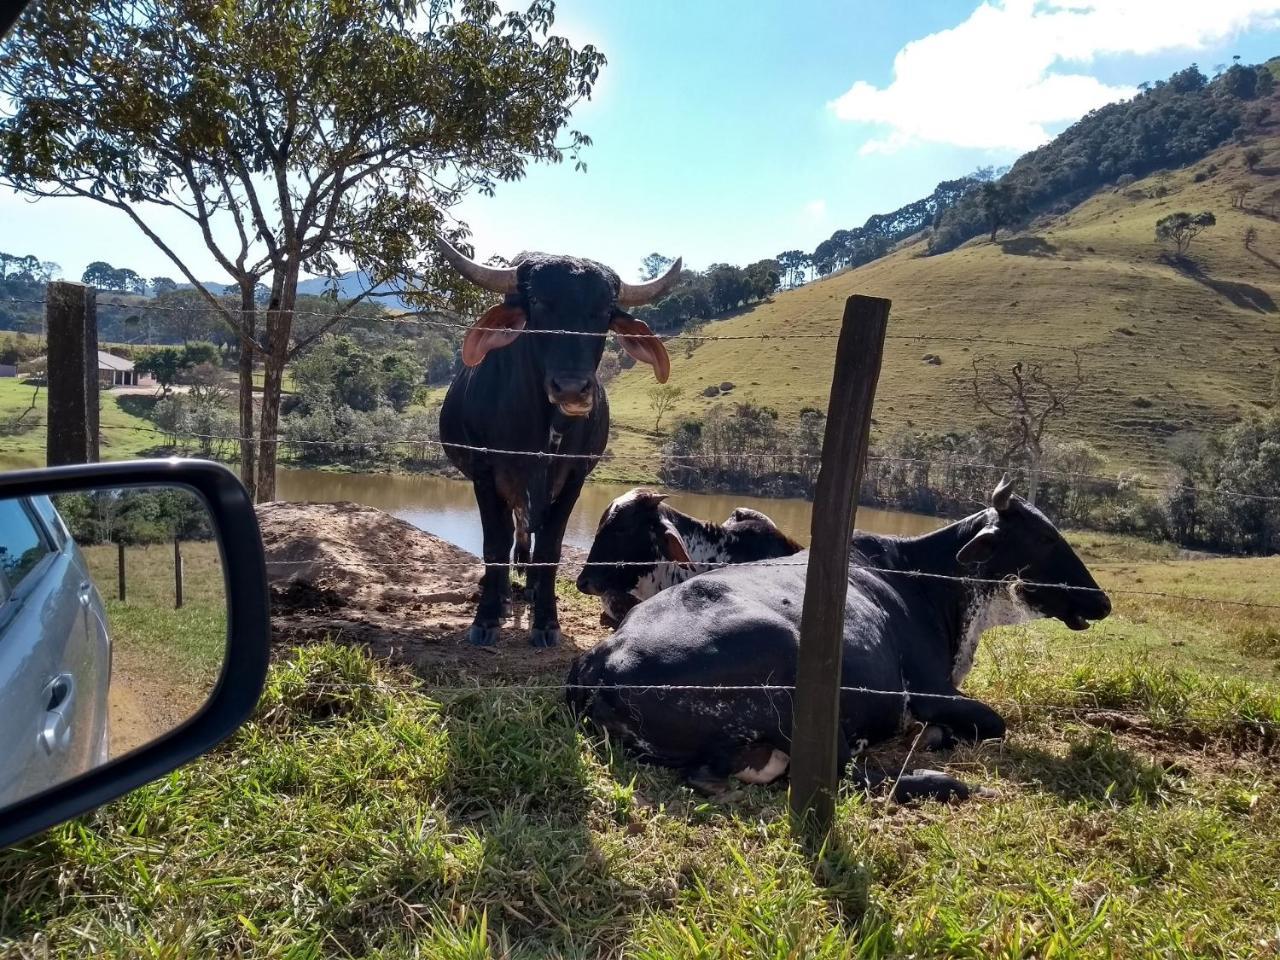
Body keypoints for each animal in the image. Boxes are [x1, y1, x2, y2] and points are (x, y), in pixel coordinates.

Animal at [437, 236, 686, 650]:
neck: (542, 429)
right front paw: (486, 617)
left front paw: (546, 621)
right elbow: (494, 545)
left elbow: (550, 548)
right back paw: (503, 597)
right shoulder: (485, 472)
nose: (571, 387)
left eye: (603, 311)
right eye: (539, 302)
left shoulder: (573, 477)